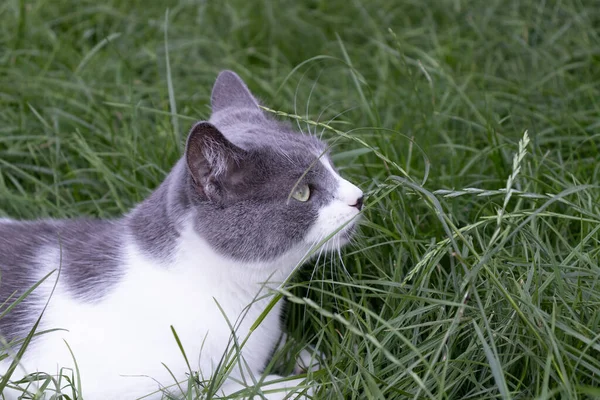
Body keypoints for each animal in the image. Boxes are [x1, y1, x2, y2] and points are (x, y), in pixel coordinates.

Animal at [0, 70, 364, 398]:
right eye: (303, 192)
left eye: (331, 164)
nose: (359, 197)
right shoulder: (84, 381)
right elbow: (227, 390)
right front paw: (298, 383)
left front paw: (310, 359)